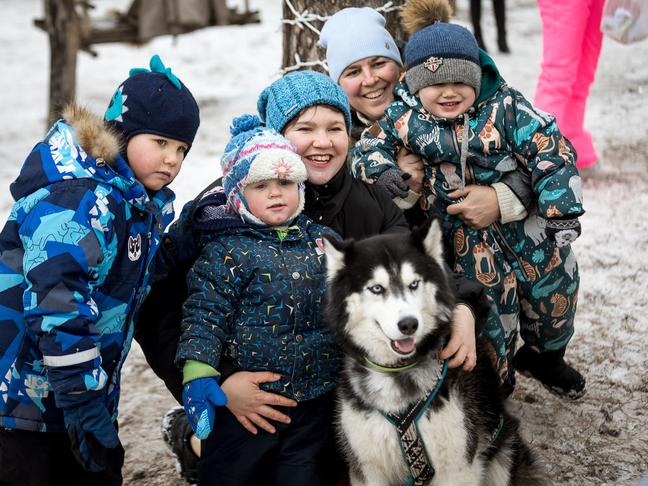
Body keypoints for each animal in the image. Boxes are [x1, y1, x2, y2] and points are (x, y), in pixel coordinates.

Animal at [322, 218, 540, 484]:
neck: (398, 373)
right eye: (376, 288)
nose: (408, 324)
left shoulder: (457, 466)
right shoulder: (368, 467)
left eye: (414, 284)